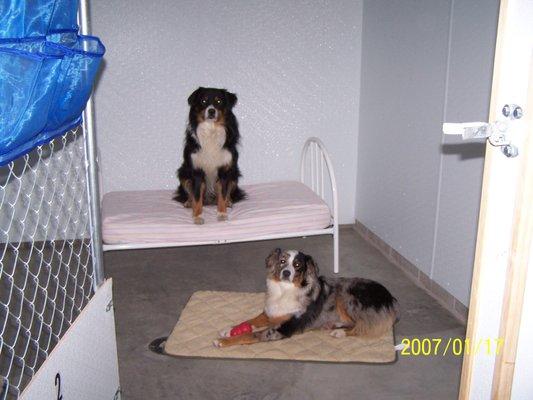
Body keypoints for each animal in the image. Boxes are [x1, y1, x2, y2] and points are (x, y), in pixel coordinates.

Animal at [175, 87, 245, 223]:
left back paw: (229, 201)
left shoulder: (225, 170)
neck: (211, 129)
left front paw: (222, 213)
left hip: (234, 173)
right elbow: (197, 196)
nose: (211, 111)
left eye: (218, 101)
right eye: (203, 101)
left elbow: (222, 194)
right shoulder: (196, 170)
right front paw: (197, 216)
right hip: (183, 172)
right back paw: (188, 202)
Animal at [214, 247, 396, 346]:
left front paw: (223, 341)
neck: (285, 290)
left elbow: (251, 334)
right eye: (282, 261)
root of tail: (391, 299)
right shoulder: (270, 313)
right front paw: (228, 330)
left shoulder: (284, 328)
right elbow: (250, 320)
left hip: (347, 295)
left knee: (362, 326)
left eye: (297, 265)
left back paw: (340, 333)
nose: (287, 273)